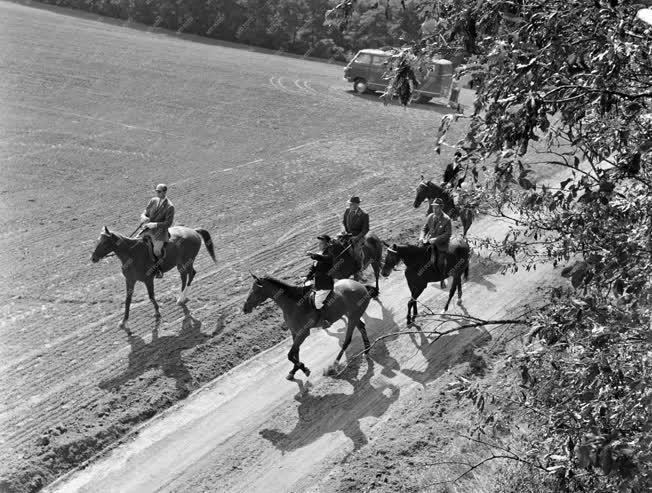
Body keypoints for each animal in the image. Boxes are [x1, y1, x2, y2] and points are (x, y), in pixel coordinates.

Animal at [242, 274, 374, 378]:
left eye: (255, 290)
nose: (244, 308)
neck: (293, 304)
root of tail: (361, 286)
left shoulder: (303, 333)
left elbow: (290, 355)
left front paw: (303, 368)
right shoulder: (295, 332)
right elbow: (295, 352)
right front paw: (294, 371)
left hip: (352, 317)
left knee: (347, 340)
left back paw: (333, 366)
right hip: (351, 315)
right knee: (362, 327)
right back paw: (367, 349)